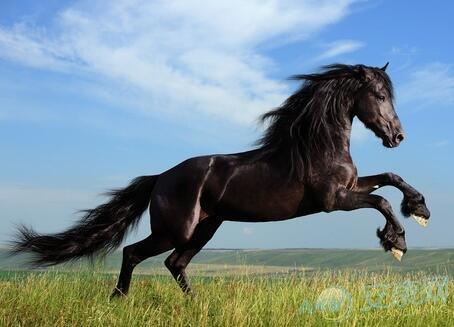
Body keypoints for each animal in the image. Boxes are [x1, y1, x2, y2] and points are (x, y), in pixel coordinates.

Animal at [10, 63, 430, 298]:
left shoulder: (350, 187)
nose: (397, 136)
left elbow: (390, 178)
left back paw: (194, 304)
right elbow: (381, 201)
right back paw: (118, 299)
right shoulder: (333, 200)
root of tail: (160, 178)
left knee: (175, 263)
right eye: (379, 96)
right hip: (175, 229)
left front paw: (419, 209)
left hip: (206, 228)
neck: (317, 146)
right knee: (134, 253)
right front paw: (396, 242)